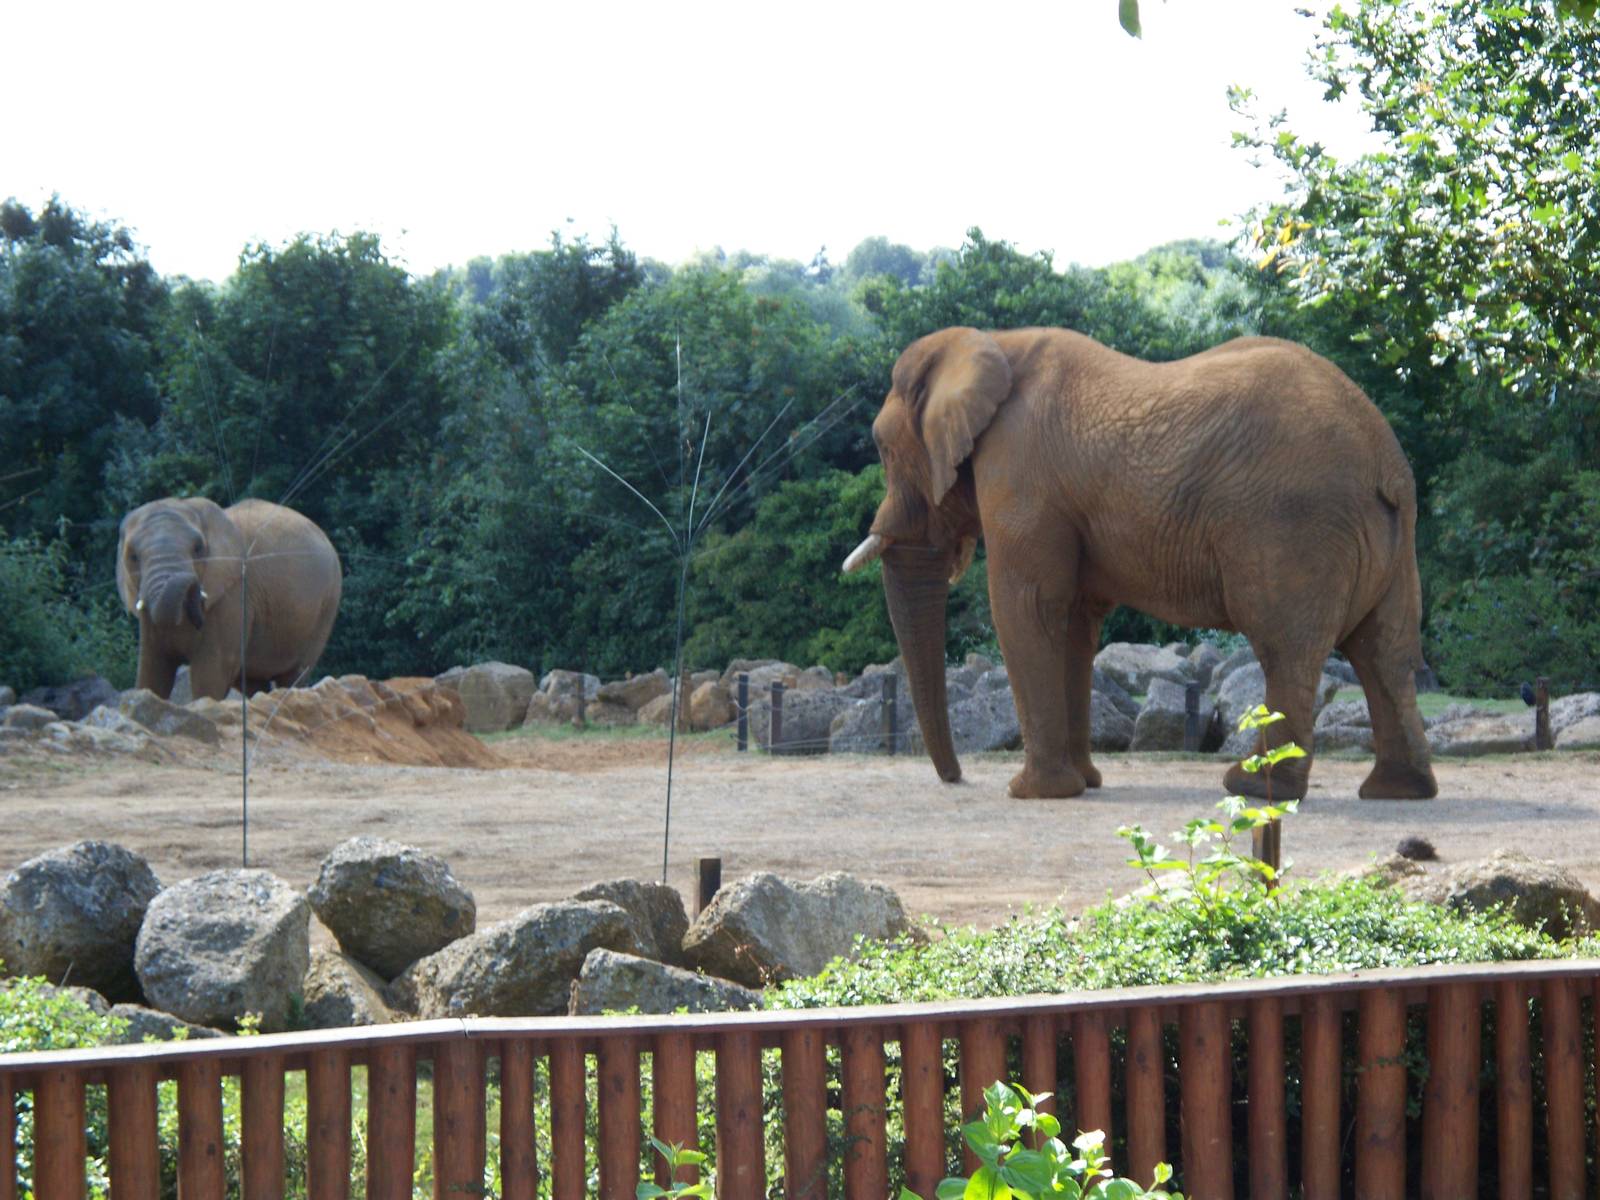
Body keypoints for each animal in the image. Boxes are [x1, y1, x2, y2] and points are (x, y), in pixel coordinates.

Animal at [117, 497, 342, 701]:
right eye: (133, 557)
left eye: (198, 548)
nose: (197, 615)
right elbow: (152, 672)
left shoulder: (232, 597)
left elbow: (211, 672)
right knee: (253, 682)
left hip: (327, 604)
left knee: (294, 674)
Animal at [842, 326, 1437, 802]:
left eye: (882, 449)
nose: (957, 777)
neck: (990, 345)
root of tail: (1383, 458)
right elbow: (1075, 623)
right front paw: (1085, 785)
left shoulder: (1020, 476)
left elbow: (1028, 607)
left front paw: (1034, 793)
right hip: (1392, 537)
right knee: (1383, 652)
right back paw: (1397, 791)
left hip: (1293, 526)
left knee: (1287, 650)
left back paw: (1251, 787)